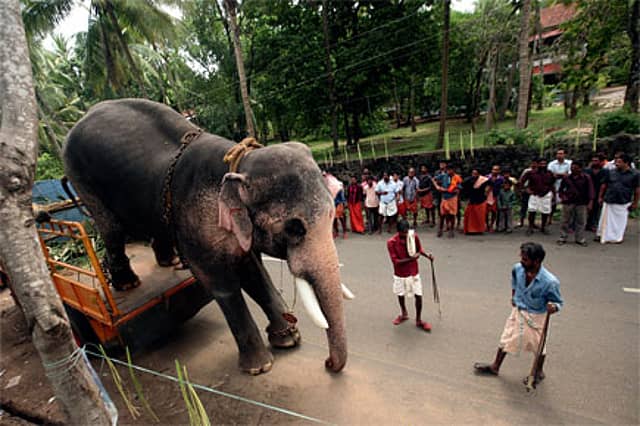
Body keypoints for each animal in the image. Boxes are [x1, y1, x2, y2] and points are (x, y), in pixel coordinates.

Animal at [62, 98, 350, 374]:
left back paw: (168, 263)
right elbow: (221, 283)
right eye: (294, 228)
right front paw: (259, 367)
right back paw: (127, 284)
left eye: (331, 214)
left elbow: (253, 273)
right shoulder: (195, 225)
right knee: (111, 229)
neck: (239, 163)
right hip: (82, 180)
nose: (328, 364)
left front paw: (287, 340)